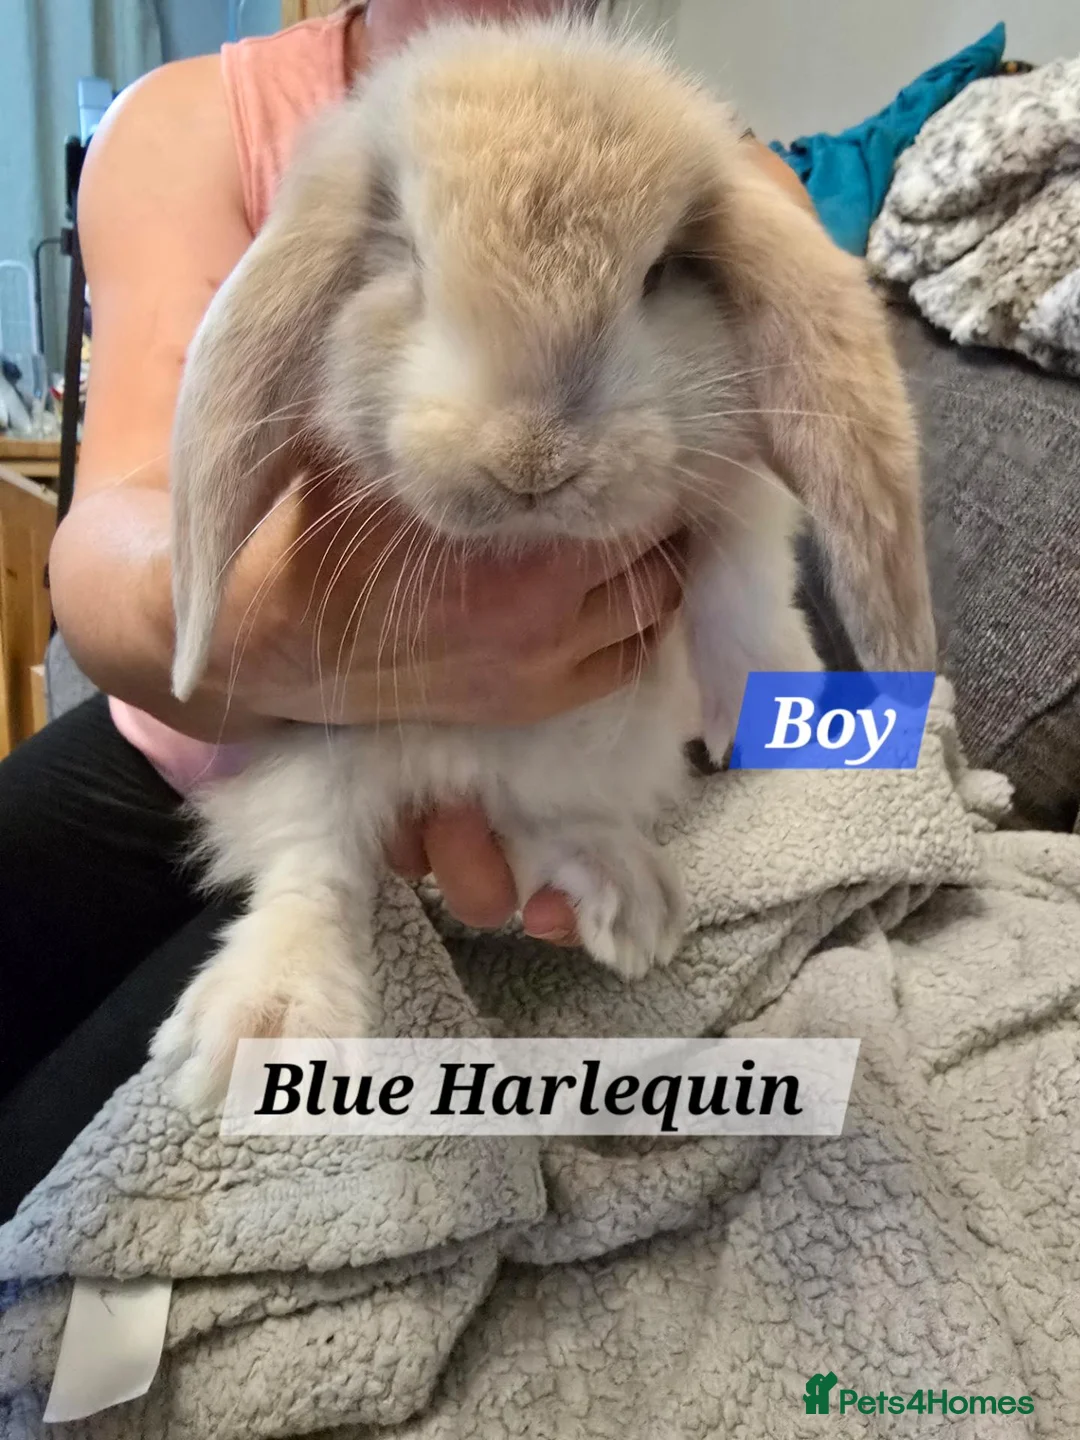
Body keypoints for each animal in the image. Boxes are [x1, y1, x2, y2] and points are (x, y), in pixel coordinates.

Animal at [153, 15, 935, 1108]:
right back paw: (261, 1030)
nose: (531, 460)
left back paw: (630, 904)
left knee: (541, 827)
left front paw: (761, 702)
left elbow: (737, 562)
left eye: (656, 276)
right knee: (312, 868)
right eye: (409, 260)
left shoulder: (734, 482)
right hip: (318, 761)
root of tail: (461, 775)